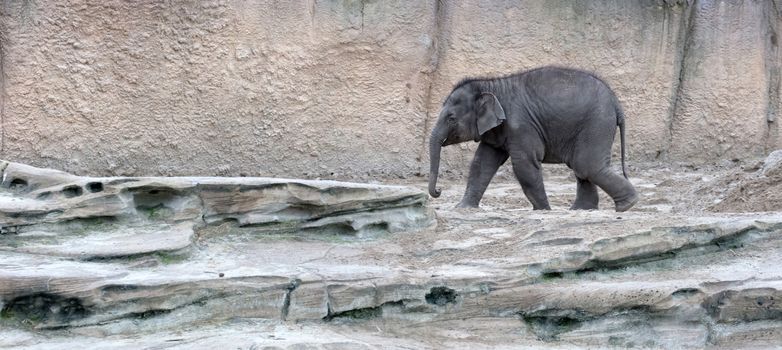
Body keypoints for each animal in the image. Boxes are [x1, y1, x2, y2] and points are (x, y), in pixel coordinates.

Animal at [432, 66, 640, 212]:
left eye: (451, 118)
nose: (439, 191)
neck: (491, 85)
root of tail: (616, 102)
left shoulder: (521, 125)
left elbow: (524, 164)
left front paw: (544, 210)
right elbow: (481, 163)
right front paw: (463, 208)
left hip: (597, 122)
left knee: (586, 165)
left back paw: (627, 205)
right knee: (582, 167)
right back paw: (582, 209)